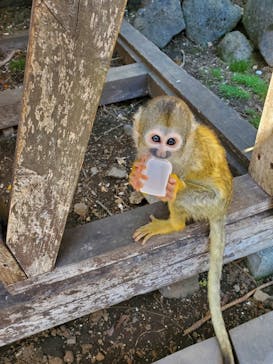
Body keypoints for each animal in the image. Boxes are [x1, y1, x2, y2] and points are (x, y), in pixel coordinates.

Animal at [129, 96, 233, 364]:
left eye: (171, 142)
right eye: (156, 139)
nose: (161, 153)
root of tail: (223, 210)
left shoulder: (193, 158)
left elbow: (202, 188)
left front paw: (173, 187)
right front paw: (137, 177)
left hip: (214, 205)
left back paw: (173, 219)